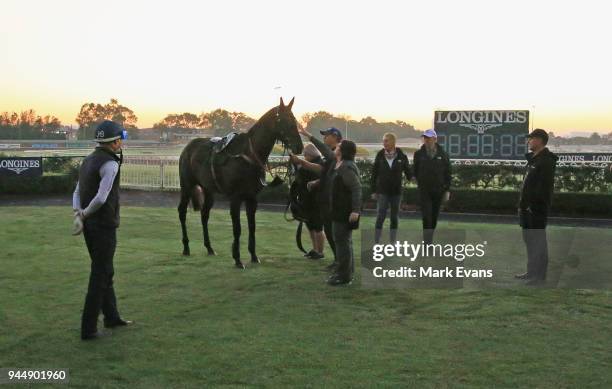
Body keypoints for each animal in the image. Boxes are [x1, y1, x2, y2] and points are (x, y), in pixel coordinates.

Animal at [177, 98, 304, 266]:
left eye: (294, 120)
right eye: (284, 120)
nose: (299, 147)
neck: (248, 155)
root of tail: (188, 148)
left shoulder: (252, 198)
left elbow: (252, 226)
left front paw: (254, 256)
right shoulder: (235, 198)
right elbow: (237, 228)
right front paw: (237, 258)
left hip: (208, 190)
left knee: (204, 214)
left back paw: (209, 248)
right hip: (186, 186)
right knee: (182, 212)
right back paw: (186, 247)